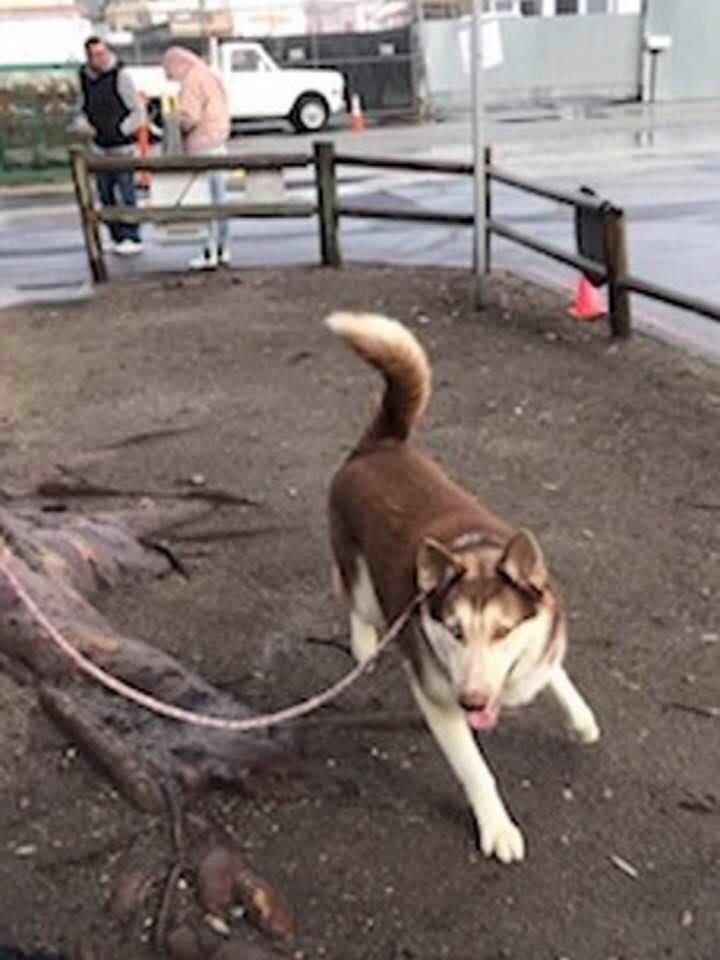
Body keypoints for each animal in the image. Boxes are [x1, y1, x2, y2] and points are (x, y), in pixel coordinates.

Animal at [325, 312, 600, 864]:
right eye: (453, 631)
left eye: (502, 632)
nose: (472, 701)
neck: (477, 554)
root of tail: (378, 445)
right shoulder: (438, 700)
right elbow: (476, 770)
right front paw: (497, 827)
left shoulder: (542, 638)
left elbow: (555, 672)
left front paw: (580, 719)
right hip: (360, 578)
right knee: (357, 602)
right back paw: (365, 645)